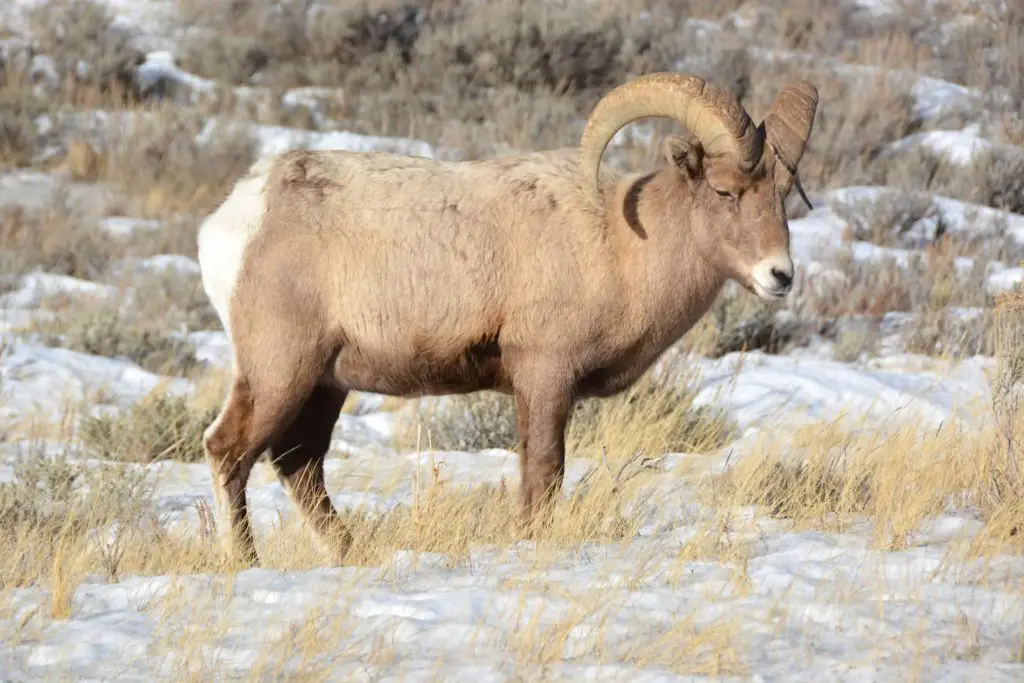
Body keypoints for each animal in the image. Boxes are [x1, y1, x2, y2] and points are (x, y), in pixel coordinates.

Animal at [195, 73, 819, 565]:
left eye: (785, 194)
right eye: (724, 191)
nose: (779, 275)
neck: (622, 245)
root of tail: (236, 216)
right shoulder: (544, 379)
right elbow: (543, 473)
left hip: (326, 383)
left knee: (299, 463)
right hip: (281, 372)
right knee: (229, 449)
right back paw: (244, 562)